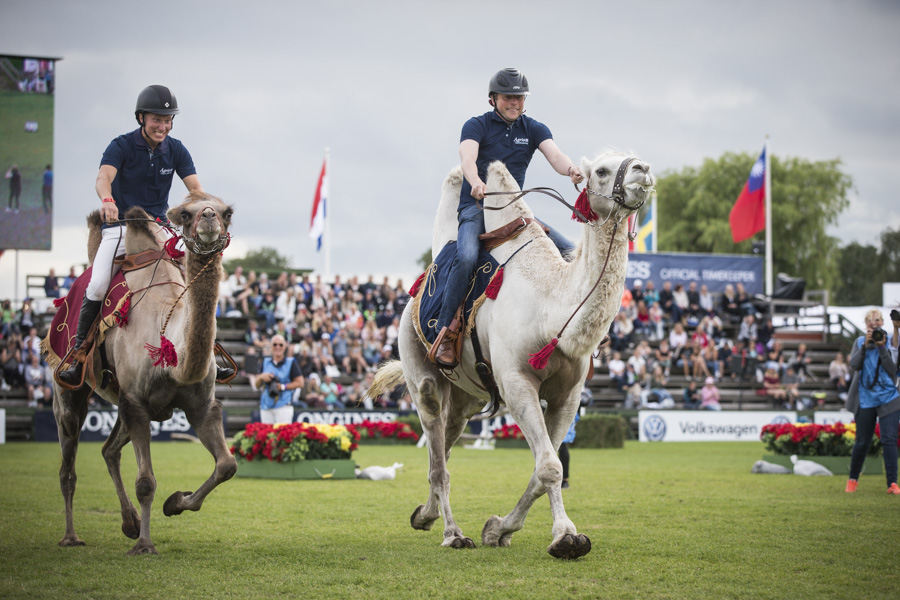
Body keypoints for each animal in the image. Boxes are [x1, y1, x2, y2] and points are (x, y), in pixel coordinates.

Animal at [48, 195, 236, 556]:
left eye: (227, 212)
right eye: (185, 214)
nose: (208, 218)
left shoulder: (200, 406)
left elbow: (226, 465)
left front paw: (175, 503)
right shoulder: (135, 402)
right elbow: (146, 481)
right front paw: (145, 545)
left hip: (125, 402)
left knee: (108, 450)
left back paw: (130, 523)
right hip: (68, 390)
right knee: (67, 466)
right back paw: (70, 536)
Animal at [368, 150, 652, 556]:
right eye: (601, 169)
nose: (642, 169)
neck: (551, 308)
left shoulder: (569, 395)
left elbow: (542, 467)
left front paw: (498, 529)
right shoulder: (516, 381)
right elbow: (550, 466)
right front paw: (565, 536)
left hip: (467, 398)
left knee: (444, 448)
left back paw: (425, 515)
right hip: (420, 373)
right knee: (438, 457)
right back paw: (453, 534)